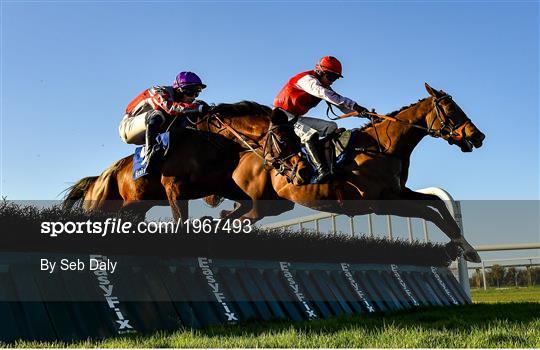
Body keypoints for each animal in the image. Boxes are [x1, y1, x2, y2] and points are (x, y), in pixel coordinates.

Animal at [207, 83, 486, 262]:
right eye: (451, 110)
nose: (478, 136)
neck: (384, 146)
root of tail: (246, 152)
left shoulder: (399, 192)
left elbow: (436, 202)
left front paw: (466, 247)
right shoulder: (381, 203)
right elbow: (428, 213)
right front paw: (461, 248)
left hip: (273, 205)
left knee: (232, 215)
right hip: (263, 204)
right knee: (238, 219)